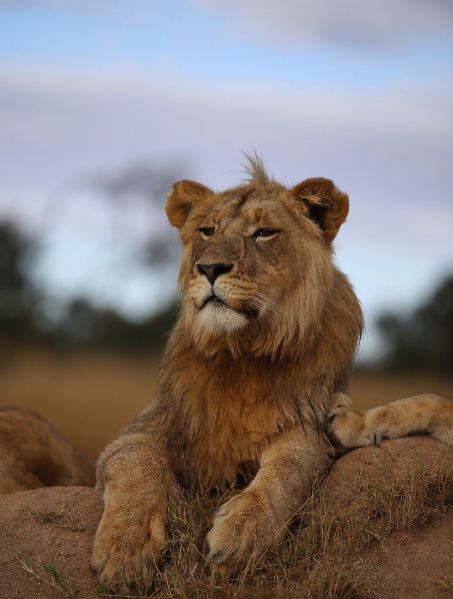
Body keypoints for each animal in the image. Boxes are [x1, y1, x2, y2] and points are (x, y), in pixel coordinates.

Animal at [90, 156, 452, 592]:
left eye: (263, 232)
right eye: (208, 230)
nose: (209, 267)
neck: (243, 353)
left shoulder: (304, 421)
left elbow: (287, 469)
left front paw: (241, 533)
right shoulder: (152, 425)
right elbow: (135, 460)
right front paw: (124, 550)